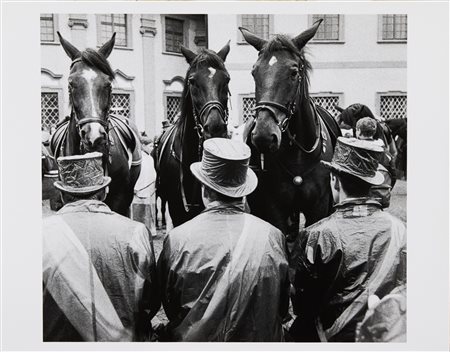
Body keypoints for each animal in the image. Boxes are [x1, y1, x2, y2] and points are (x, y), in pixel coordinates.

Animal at [239, 19, 342, 239]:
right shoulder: (275, 209)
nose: (263, 136)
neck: (298, 155)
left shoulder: (318, 208)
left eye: (294, 72)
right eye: (254, 72)